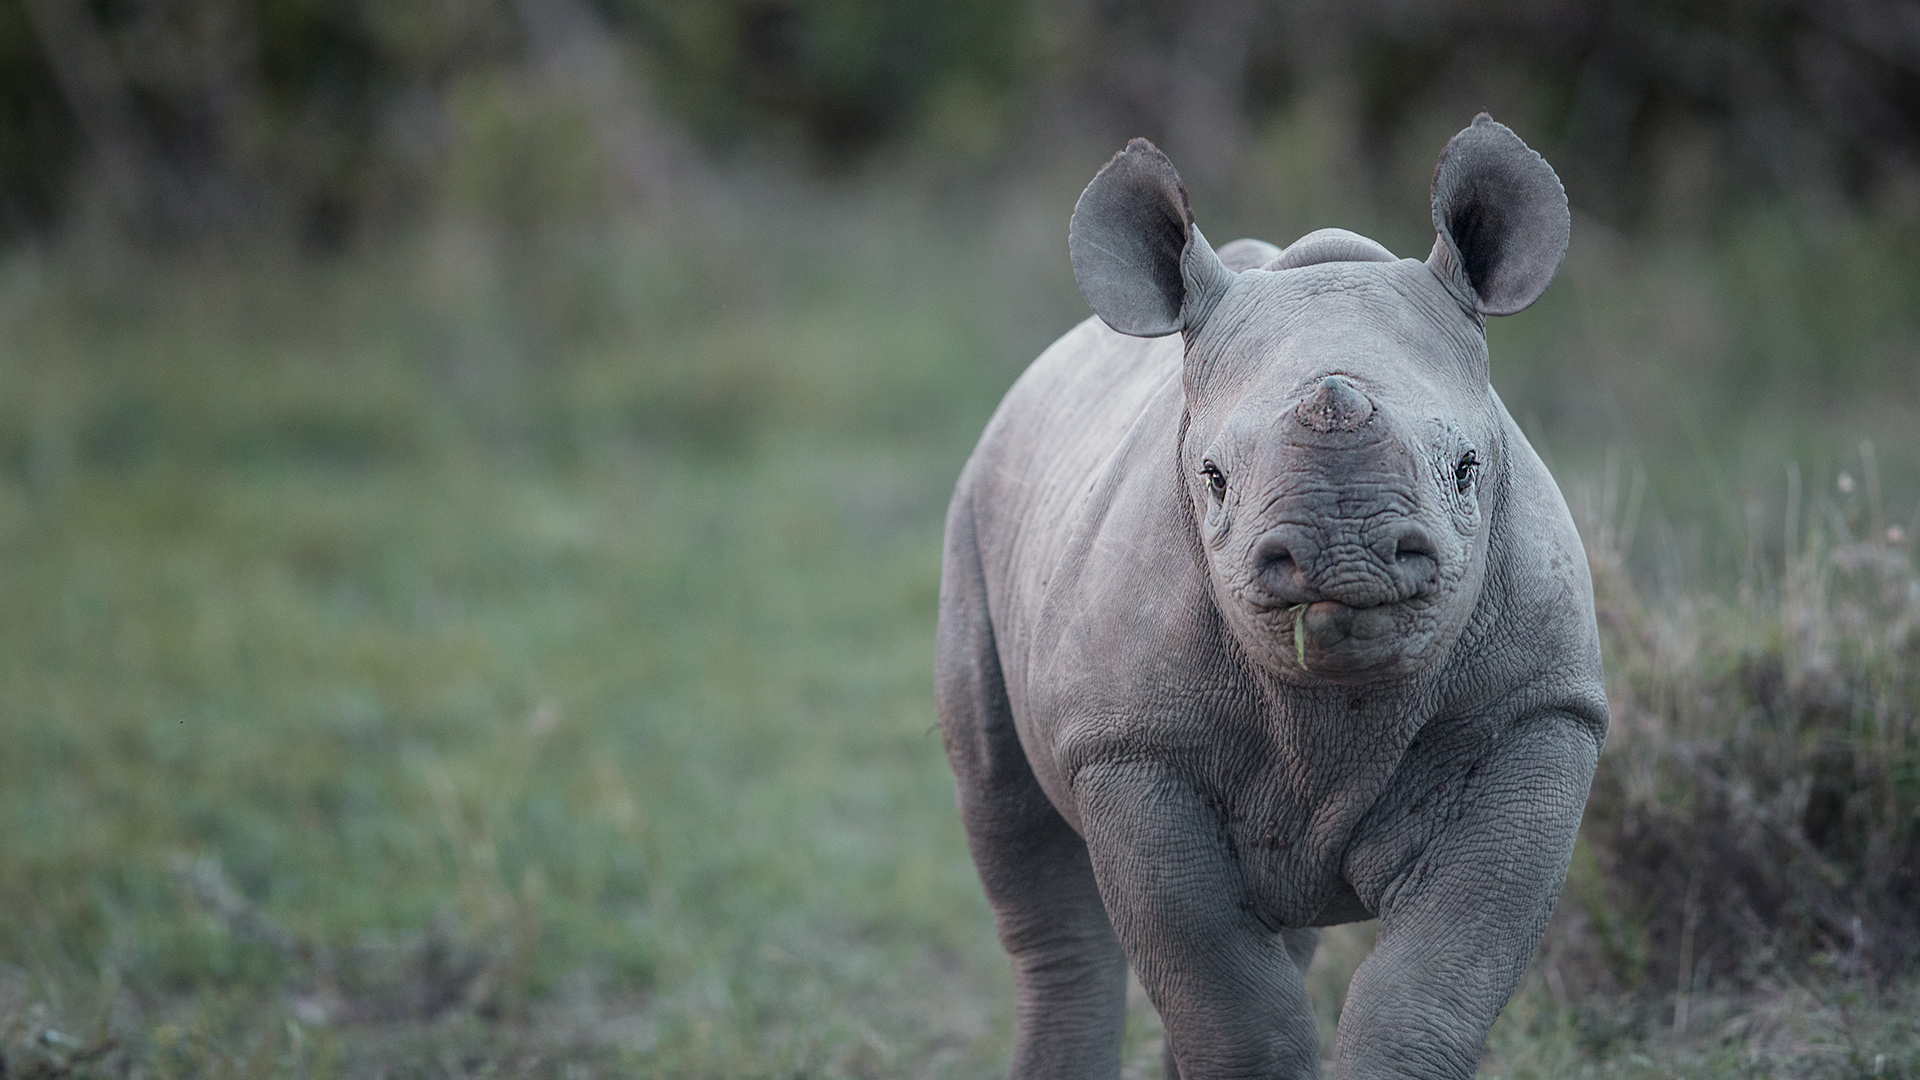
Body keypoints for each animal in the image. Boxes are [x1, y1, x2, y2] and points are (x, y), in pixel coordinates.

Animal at [936, 113, 1612, 1068]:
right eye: (1214, 478)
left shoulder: (1540, 709)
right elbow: (1227, 999)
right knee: (1023, 849)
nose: (1345, 555)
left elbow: (1434, 984)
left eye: (1467, 468)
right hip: (977, 507)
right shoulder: (1128, 745)